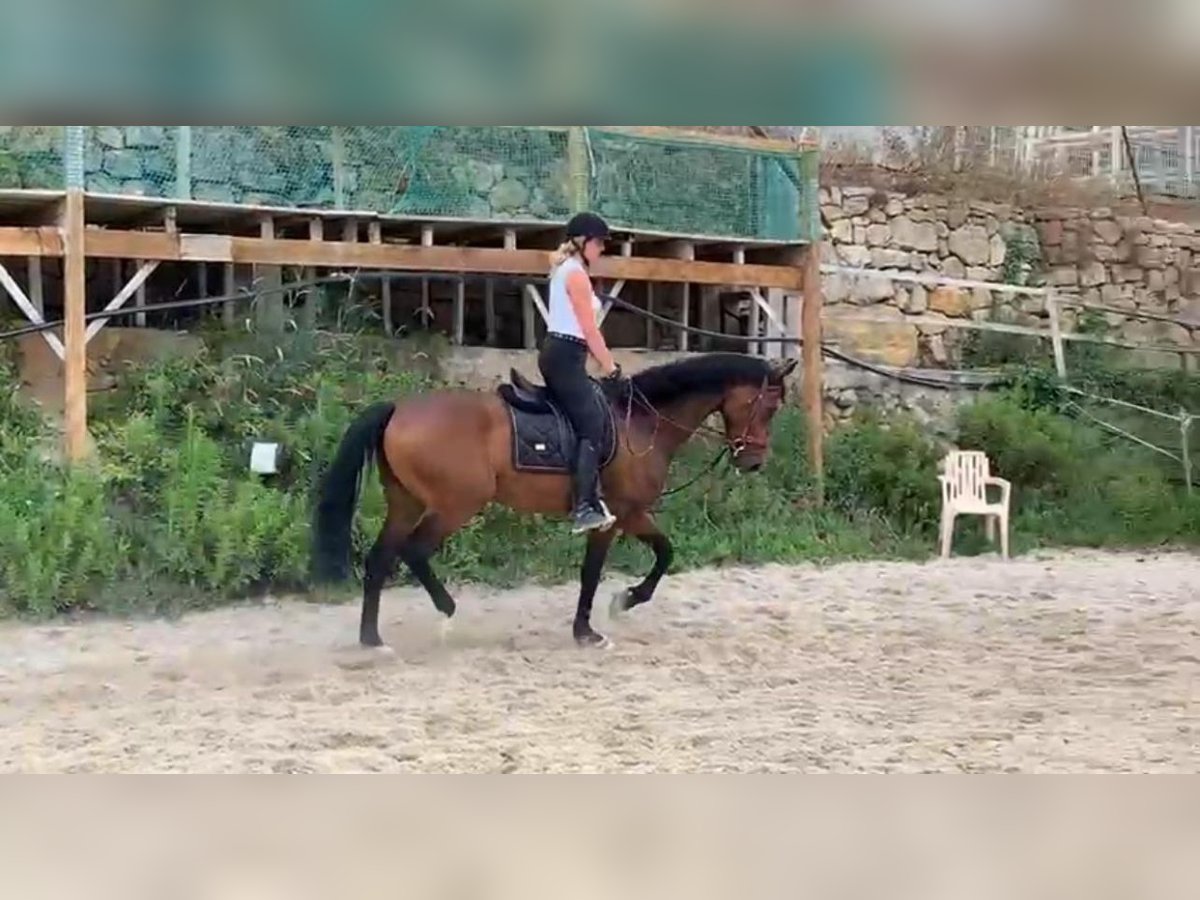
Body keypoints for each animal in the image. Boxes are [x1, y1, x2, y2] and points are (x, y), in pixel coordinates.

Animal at [311, 352, 798, 650]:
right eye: (769, 407)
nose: (754, 461)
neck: (642, 421)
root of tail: (399, 407)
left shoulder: (633, 513)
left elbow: (665, 552)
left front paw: (627, 600)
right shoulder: (613, 516)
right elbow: (593, 572)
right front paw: (588, 631)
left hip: (406, 502)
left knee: (379, 560)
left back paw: (372, 641)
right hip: (454, 504)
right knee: (413, 552)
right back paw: (446, 612)